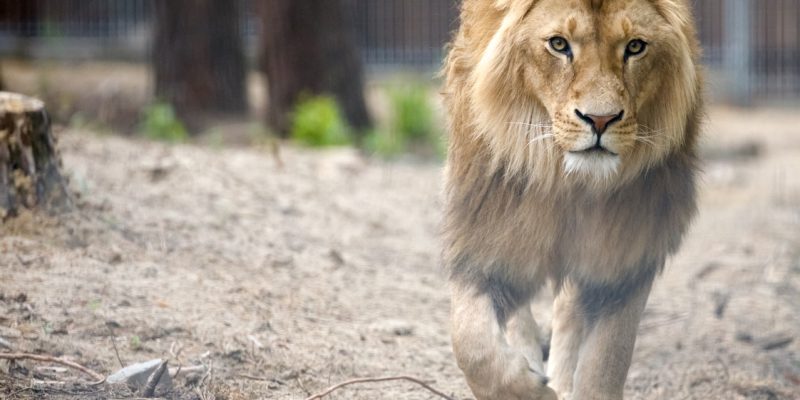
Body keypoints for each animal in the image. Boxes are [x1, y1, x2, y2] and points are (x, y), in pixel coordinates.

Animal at [444, 0, 700, 400]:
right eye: (559, 44)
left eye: (635, 47)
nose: (600, 119)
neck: (568, 183)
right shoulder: (485, 237)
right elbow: (471, 343)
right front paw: (528, 389)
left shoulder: (626, 254)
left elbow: (608, 357)